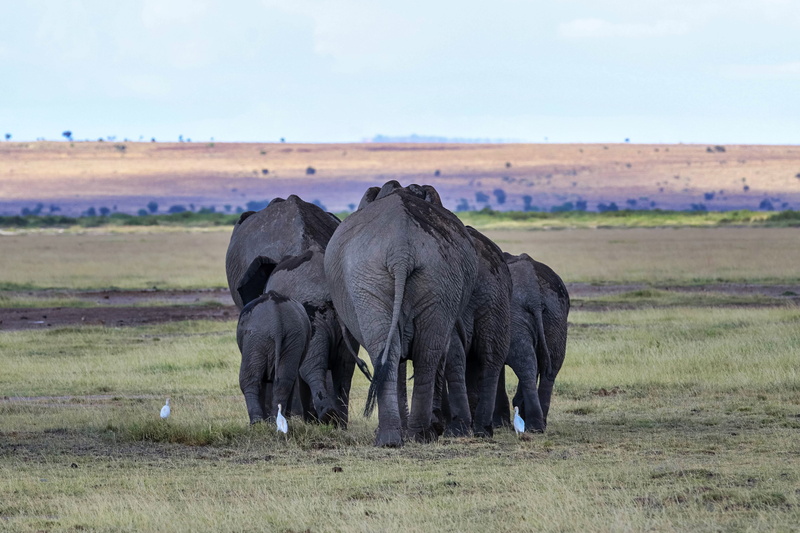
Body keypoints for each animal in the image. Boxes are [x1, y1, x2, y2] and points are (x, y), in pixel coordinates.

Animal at [237, 290, 311, 425]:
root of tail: (276, 321)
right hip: (292, 337)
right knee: (284, 379)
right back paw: (273, 420)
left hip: (255, 336)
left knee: (249, 378)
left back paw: (256, 422)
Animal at [324, 181, 478, 446]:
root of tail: (401, 249)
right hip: (425, 277)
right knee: (420, 352)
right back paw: (409, 436)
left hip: (420, 277)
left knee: (404, 352)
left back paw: (402, 436)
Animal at [494, 253, 570, 432]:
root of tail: (534, 296)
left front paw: (499, 424)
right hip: (556, 314)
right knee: (550, 366)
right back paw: (539, 424)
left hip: (518, 315)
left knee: (527, 365)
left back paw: (534, 425)